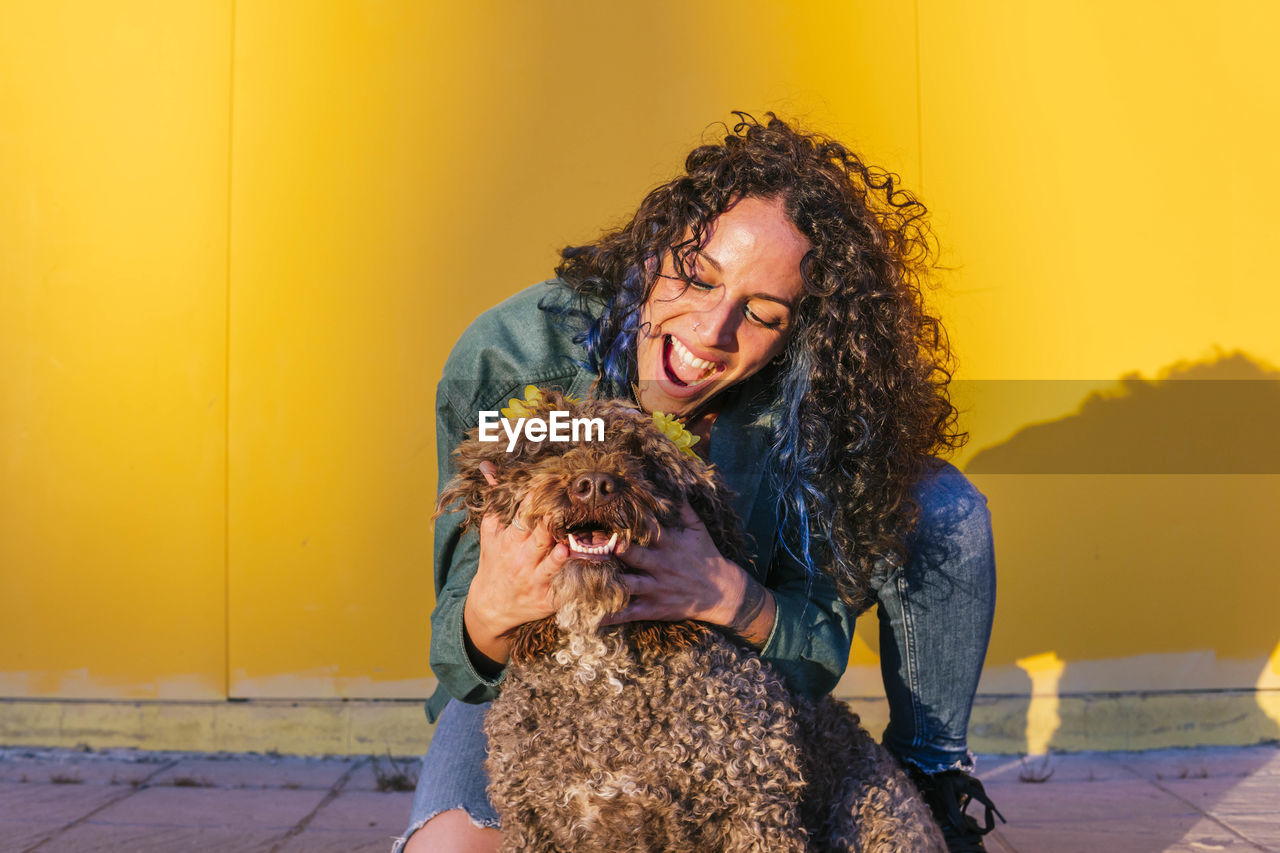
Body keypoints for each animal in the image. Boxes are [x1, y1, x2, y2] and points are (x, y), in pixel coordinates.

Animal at [435, 389, 947, 845]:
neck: (600, 665)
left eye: (640, 456)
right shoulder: (535, 823)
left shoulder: (756, 810)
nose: (595, 483)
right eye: (550, 449)